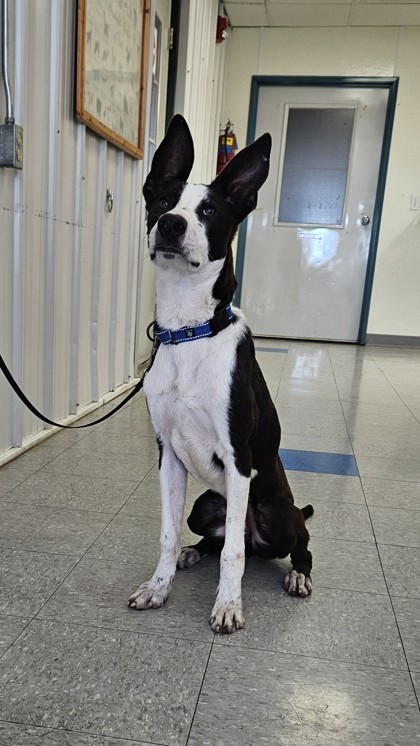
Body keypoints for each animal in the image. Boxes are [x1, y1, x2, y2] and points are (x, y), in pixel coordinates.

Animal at [130, 116, 314, 632]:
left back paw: (298, 575)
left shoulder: (238, 458)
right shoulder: (168, 457)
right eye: (162, 201)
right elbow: (168, 534)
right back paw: (193, 554)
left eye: (209, 210)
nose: (171, 224)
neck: (189, 331)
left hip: (274, 511)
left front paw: (228, 605)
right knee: (213, 537)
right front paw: (159, 586)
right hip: (205, 503)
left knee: (293, 543)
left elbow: (234, 553)